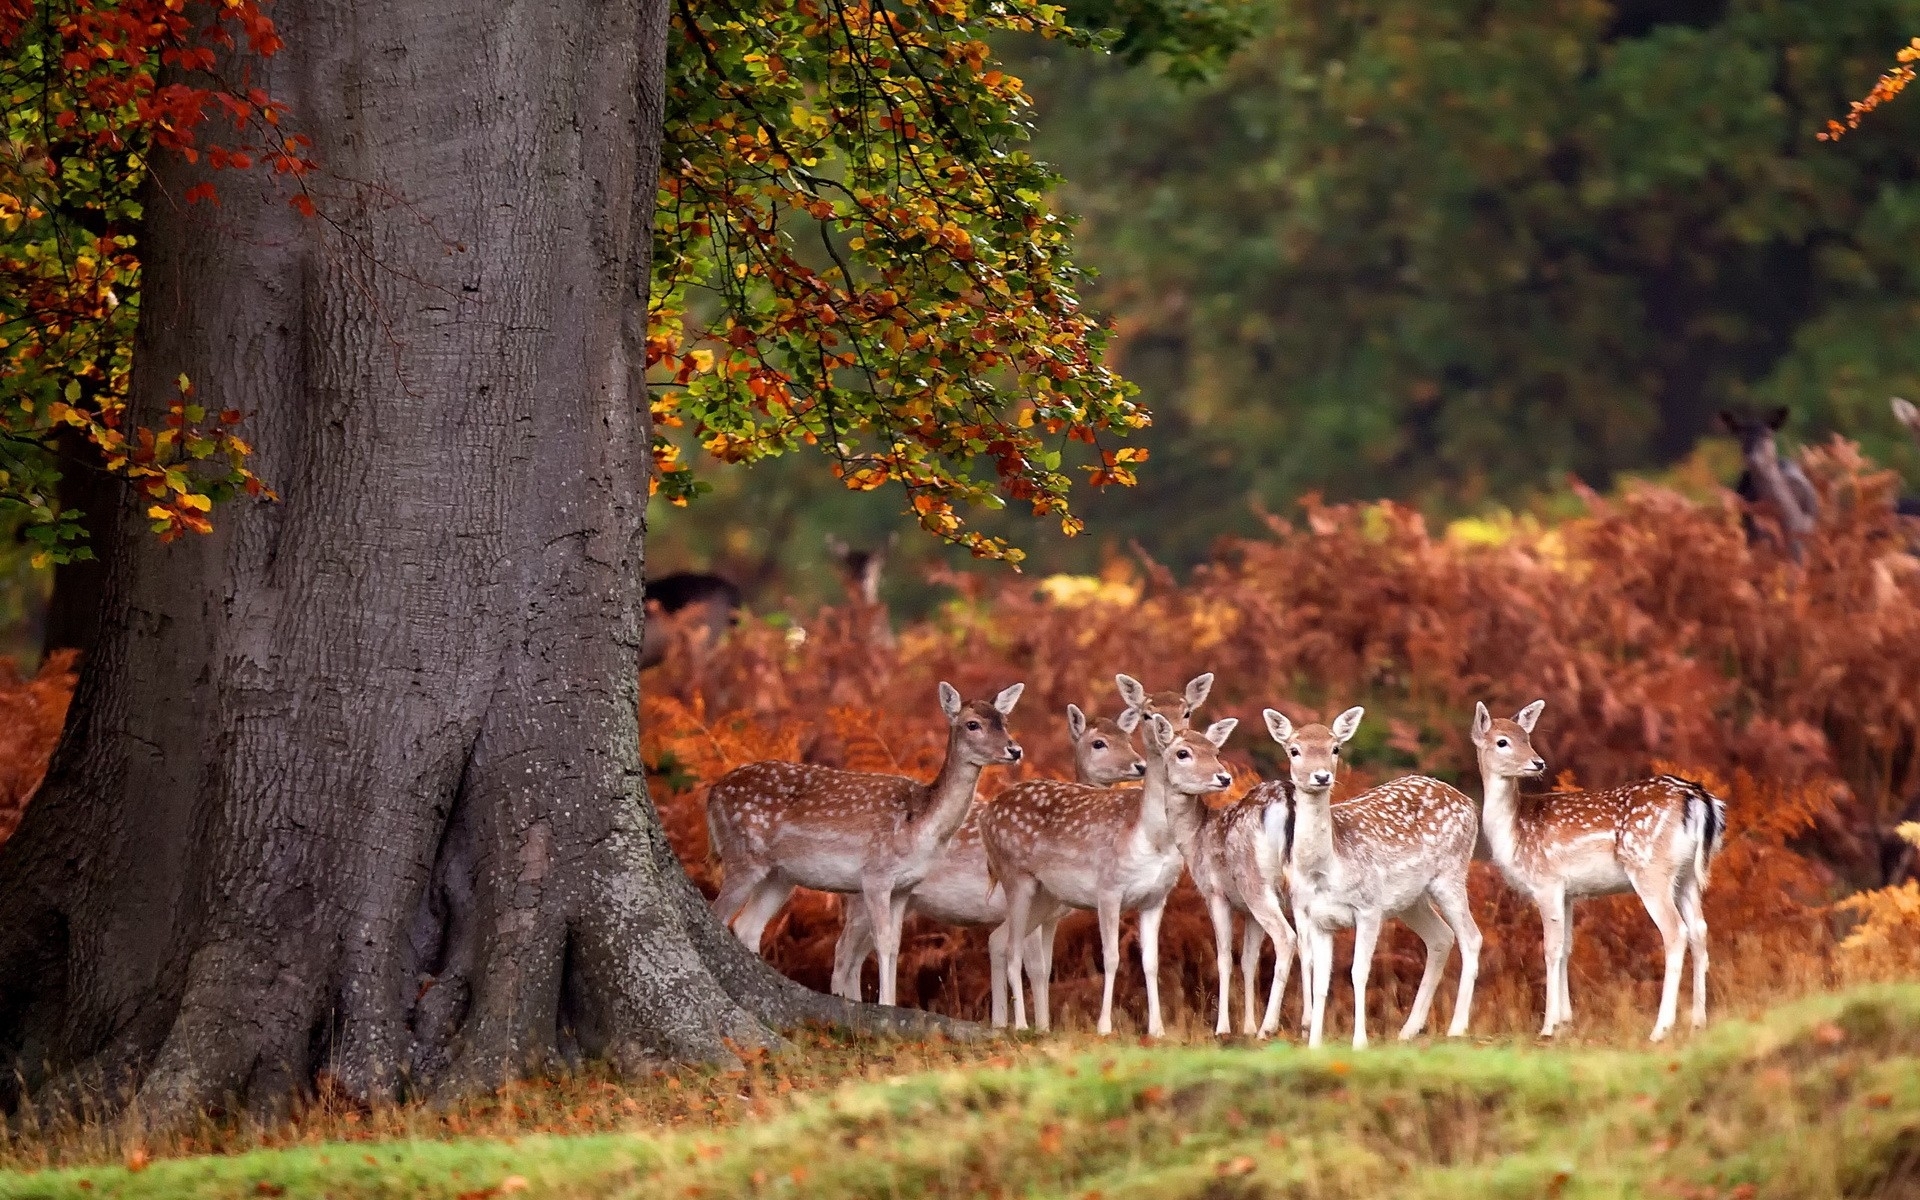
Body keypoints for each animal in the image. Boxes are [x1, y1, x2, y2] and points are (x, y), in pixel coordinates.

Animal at [706, 679, 1029, 1006]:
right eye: (972, 724)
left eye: (1004, 721)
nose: (1014, 749)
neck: (920, 826)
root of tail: (712, 794)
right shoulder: (876, 874)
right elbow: (882, 941)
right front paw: (886, 1004)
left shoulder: (904, 886)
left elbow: (895, 944)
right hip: (742, 854)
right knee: (719, 913)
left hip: (780, 876)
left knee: (748, 926)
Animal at [825, 702, 1136, 1021]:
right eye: (1099, 743)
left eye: (1129, 739)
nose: (1140, 765)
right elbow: (1034, 967)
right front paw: (1033, 1025)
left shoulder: (1050, 917)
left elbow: (1041, 965)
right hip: (863, 895)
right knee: (843, 952)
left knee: (858, 955)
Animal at [983, 706, 1236, 1036]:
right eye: (1183, 753)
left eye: (1216, 751)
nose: (1224, 776)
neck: (1151, 838)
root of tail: (987, 814)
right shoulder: (1108, 889)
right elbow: (1112, 957)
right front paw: (1104, 1027)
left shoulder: (1156, 898)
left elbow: (1151, 961)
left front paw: (1157, 1029)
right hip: (1016, 876)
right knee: (1013, 948)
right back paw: (1023, 1026)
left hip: (1047, 895)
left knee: (999, 940)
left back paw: (1012, 1024)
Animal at [1466, 702, 1728, 1036]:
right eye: (1503, 741)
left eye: (1526, 737)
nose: (1538, 763)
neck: (1514, 833)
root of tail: (1699, 798)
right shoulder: (1567, 892)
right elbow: (1566, 948)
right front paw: (1565, 1022)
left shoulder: (1546, 882)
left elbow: (1550, 949)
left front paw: (1548, 1027)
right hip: (1687, 875)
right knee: (1699, 929)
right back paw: (1698, 1021)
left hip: (1650, 868)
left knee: (1675, 931)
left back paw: (1660, 1029)